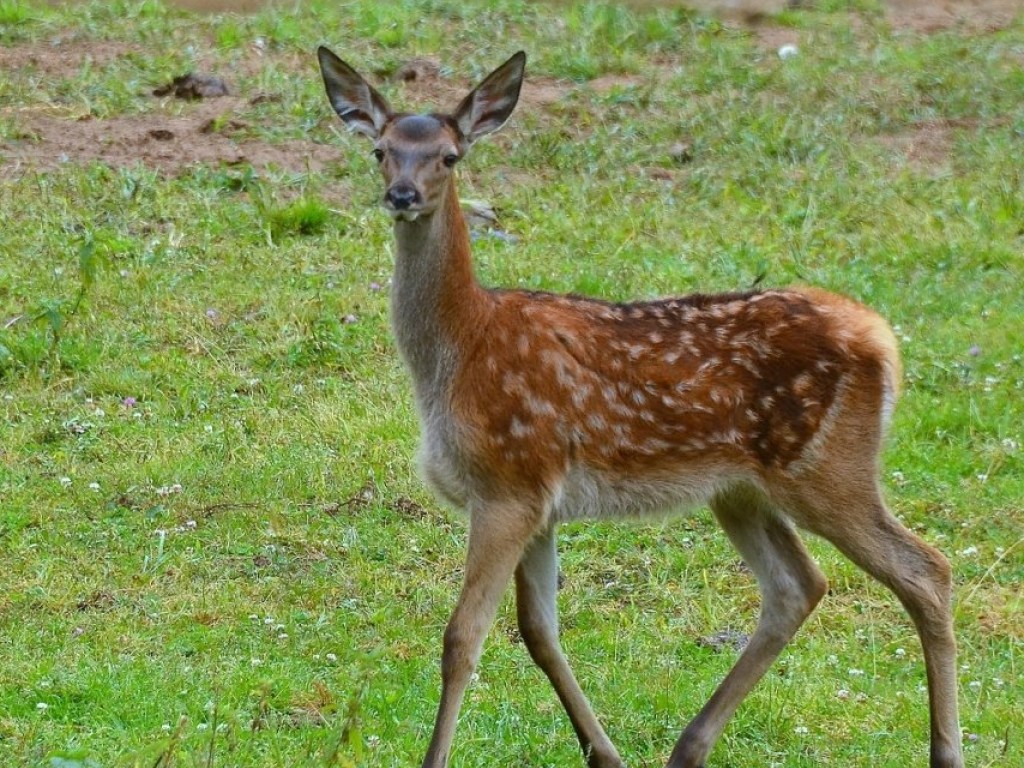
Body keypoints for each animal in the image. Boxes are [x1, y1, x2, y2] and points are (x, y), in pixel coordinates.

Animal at [315, 49, 962, 768]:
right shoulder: (539, 501)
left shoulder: (507, 482)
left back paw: (946, 749)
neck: (459, 349)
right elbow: (539, 634)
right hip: (740, 490)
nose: (402, 195)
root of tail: (884, 340)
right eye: (380, 150)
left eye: (450, 156)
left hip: (825, 467)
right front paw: (605, 753)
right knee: (799, 585)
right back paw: (690, 745)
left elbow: (462, 639)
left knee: (925, 569)